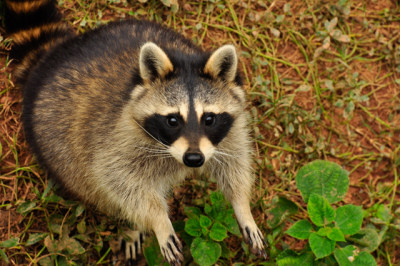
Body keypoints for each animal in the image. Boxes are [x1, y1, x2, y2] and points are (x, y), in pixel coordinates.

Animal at [4, 0, 268, 264]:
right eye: (173, 120)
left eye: (209, 119)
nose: (194, 158)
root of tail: (56, 54)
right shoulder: (120, 136)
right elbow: (120, 180)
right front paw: (159, 221)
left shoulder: (230, 129)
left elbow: (235, 163)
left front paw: (242, 206)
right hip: (57, 148)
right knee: (105, 194)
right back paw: (134, 227)